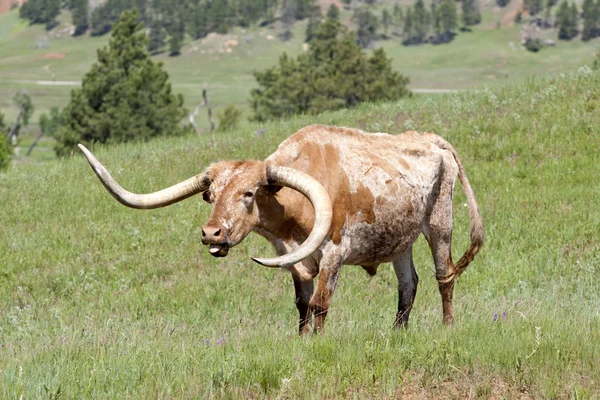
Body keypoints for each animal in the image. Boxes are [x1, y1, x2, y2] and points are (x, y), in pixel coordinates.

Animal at [78, 125, 482, 334]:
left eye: (248, 193)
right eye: (211, 195)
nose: (211, 234)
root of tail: (429, 138)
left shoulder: (333, 253)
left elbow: (320, 303)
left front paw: (319, 343)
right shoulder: (293, 260)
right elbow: (302, 305)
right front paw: (302, 342)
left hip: (440, 223)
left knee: (444, 275)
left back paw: (447, 327)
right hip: (400, 240)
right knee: (408, 285)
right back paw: (397, 333)